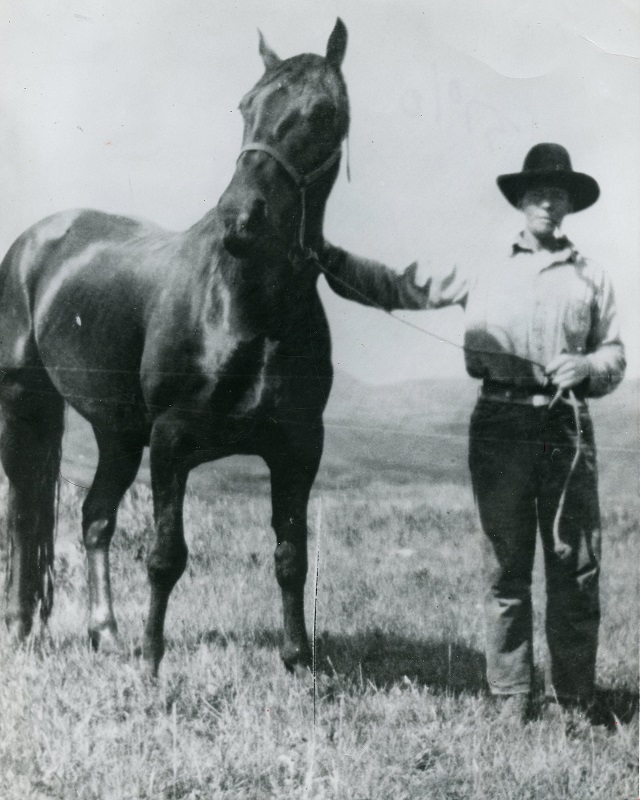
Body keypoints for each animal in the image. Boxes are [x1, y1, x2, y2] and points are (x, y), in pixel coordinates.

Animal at [0, 19, 349, 676]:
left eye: (321, 112)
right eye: (246, 105)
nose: (239, 218)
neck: (246, 303)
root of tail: (35, 240)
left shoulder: (299, 447)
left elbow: (291, 555)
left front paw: (297, 662)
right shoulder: (171, 440)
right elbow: (166, 556)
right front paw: (151, 663)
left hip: (116, 432)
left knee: (95, 518)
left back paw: (106, 633)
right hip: (22, 404)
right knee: (22, 513)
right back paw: (20, 625)